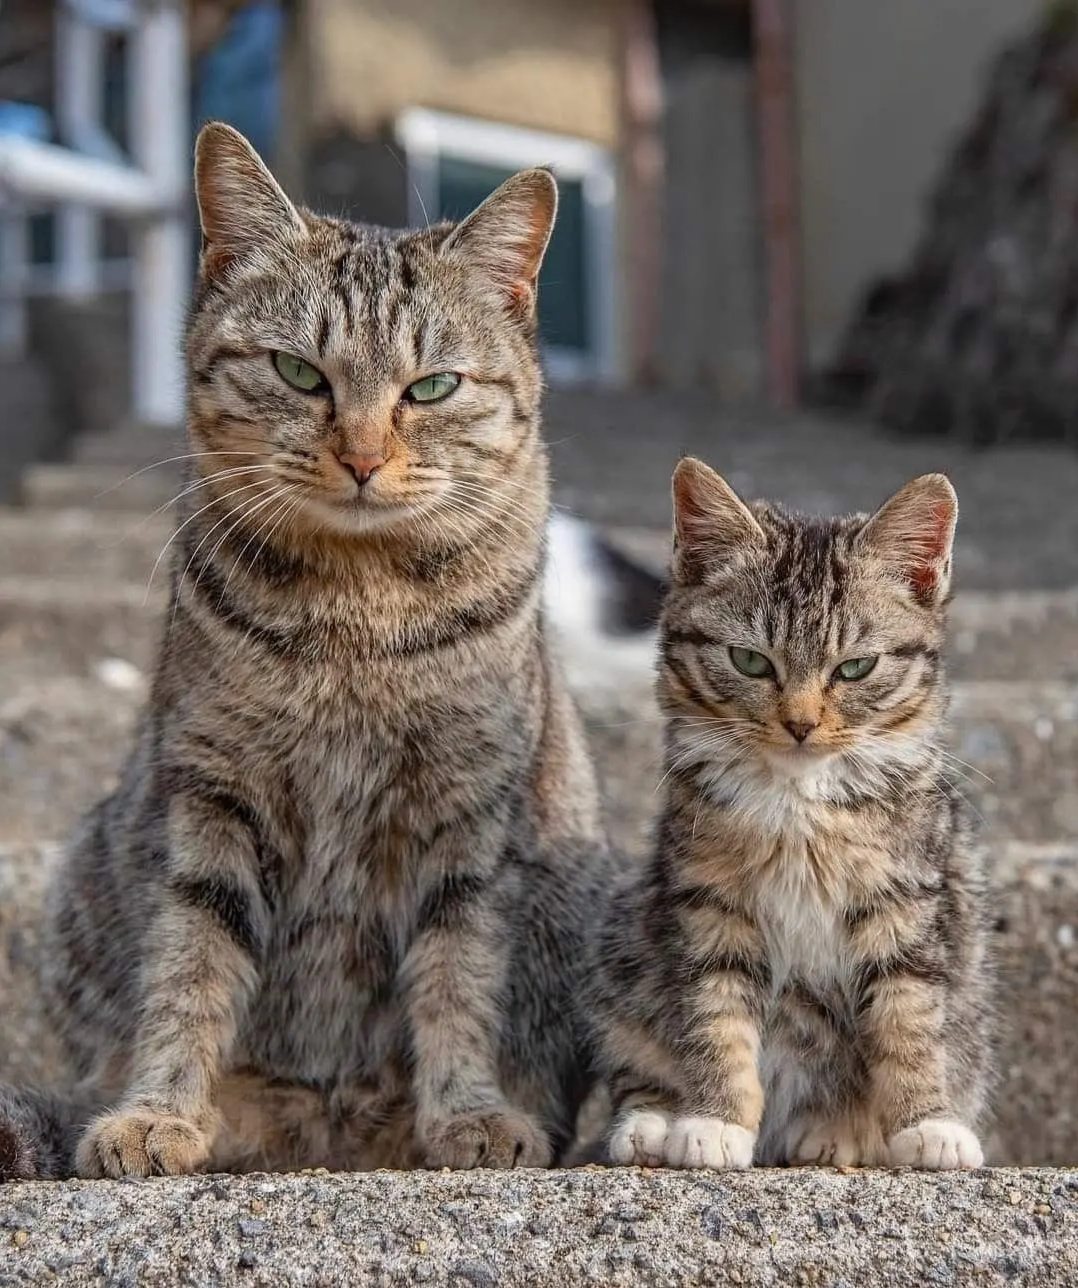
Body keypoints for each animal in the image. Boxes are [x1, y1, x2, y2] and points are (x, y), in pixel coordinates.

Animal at [0, 125, 605, 1179]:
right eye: (299, 374)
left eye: (431, 387)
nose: (361, 457)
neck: (353, 617)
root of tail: (328, 1126)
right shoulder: (212, 793)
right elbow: (190, 962)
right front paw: (157, 1112)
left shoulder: (468, 811)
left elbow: (460, 974)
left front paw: (471, 1113)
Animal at [589, 461, 994, 1169]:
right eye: (751, 660)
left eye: (855, 667)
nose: (800, 724)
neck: (798, 801)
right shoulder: (708, 901)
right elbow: (715, 1014)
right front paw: (714, 1121)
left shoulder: (908, 898)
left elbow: (911, 1018)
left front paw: (929, 1122)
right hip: (628, 939)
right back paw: (652, 1122)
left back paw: (836, 1133)